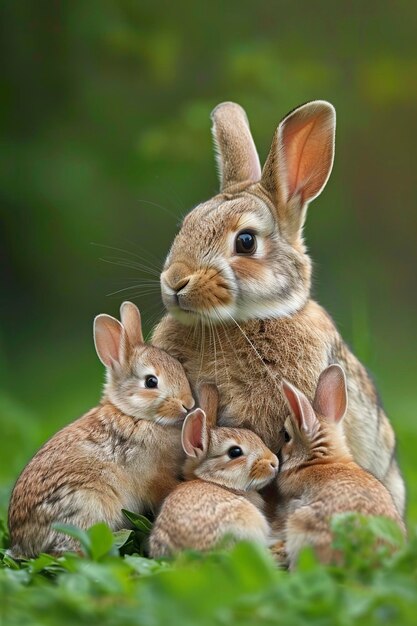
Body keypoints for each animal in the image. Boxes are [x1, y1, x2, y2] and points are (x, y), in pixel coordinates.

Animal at [8, 302, 193, 556]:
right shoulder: (155, 476)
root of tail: (22, 541)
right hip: (87, 504)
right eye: (151, 382)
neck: (134, 416)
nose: (189, 404)